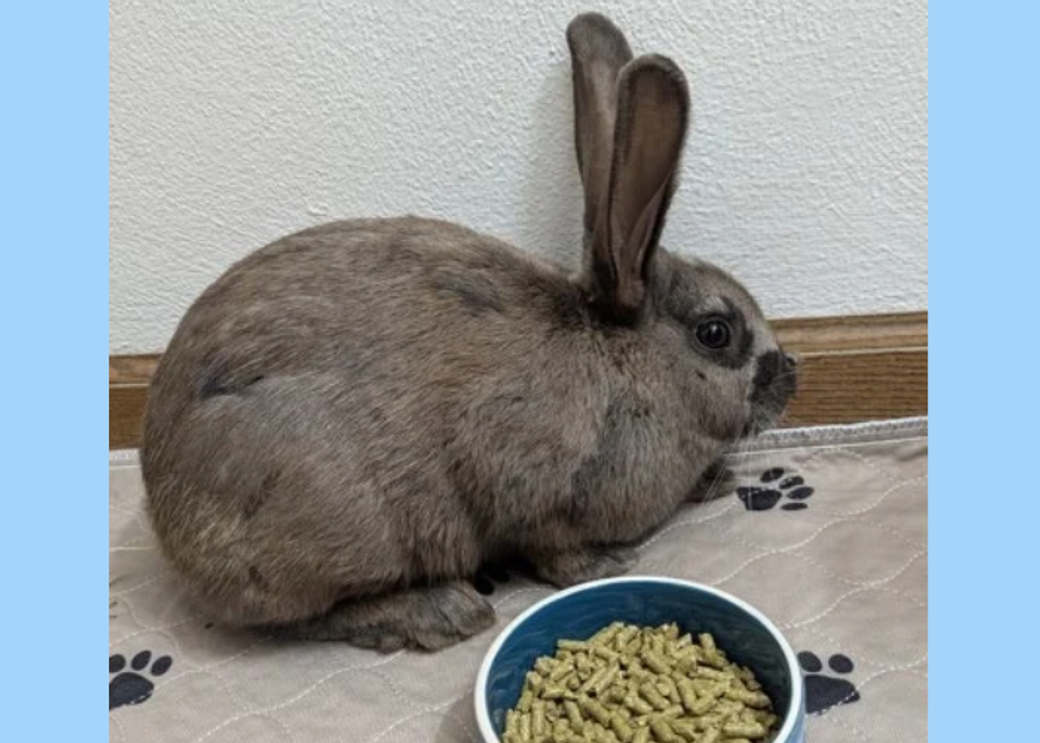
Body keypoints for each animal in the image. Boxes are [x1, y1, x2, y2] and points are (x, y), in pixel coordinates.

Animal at [140, 12, 797, 652]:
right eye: (716, 332)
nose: (791, 375)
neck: (627, 365)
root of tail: (167, 518)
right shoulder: (528, 480)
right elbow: (551, 549)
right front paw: (607, 566)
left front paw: (718, 480)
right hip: (338, 525)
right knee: (298, 619)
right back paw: (440, 611)